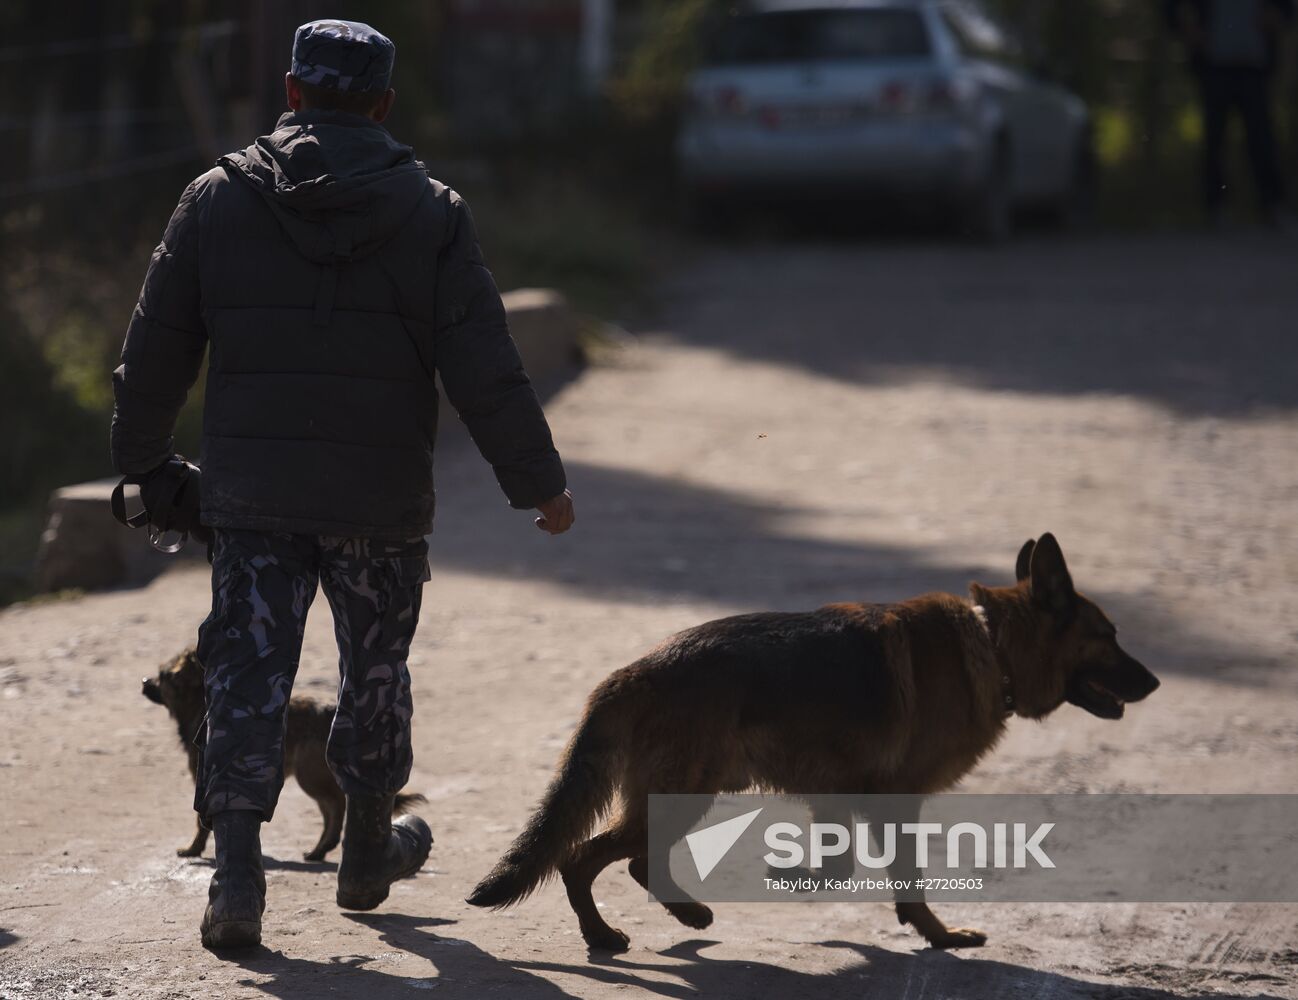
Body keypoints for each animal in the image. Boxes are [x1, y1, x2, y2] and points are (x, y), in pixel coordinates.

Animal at [142, 649, 425, 862]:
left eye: (163, 675)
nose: (144, 681)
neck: (199, 704)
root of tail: (330, 713)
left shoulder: (206, 781)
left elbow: (200, 823)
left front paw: (192, 849)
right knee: (334, 808)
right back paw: (320, 850)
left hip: (309, 776)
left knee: (337, 806)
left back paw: (324, 847)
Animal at [472, 535, 1163, 945]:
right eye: (1109, 636)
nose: (1155, 682)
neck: (993, 643)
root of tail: (629, 674)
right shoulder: (893, 802)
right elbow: (902, 879)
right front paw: (938, 936)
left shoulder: (835, 794)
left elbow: (841, 864)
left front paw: (802, 876)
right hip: (685, 793)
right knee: (582, 857)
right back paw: (609, 935)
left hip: (687, 792)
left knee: (633, 860)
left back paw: (674, 917)